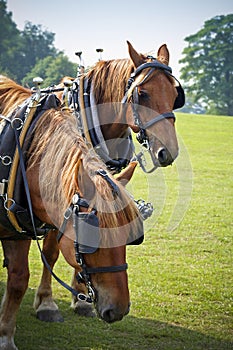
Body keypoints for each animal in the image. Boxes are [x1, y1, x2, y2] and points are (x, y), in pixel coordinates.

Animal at [0, 75, 144, 348]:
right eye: (90, 238)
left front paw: (5, 335)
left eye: (131, 237)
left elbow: (18, 280)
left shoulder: (17, 231)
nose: (119, 309)